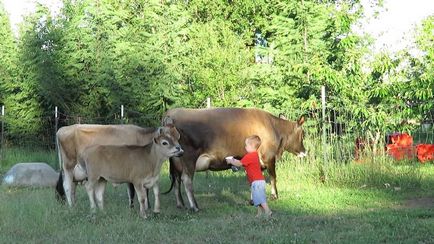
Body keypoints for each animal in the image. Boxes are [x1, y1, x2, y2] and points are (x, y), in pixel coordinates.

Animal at [161, 107, 306, 212]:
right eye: (303, 134)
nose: (304, 152)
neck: (274, 128)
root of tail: (171, 113)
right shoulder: (269, 157)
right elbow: (273, 177)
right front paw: (275, 196)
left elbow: (253, 179)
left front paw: (253, 200)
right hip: (189, 157)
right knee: (186, 179)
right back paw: (195, 207)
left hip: (176, 161)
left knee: (176, 179)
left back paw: (181, 204)